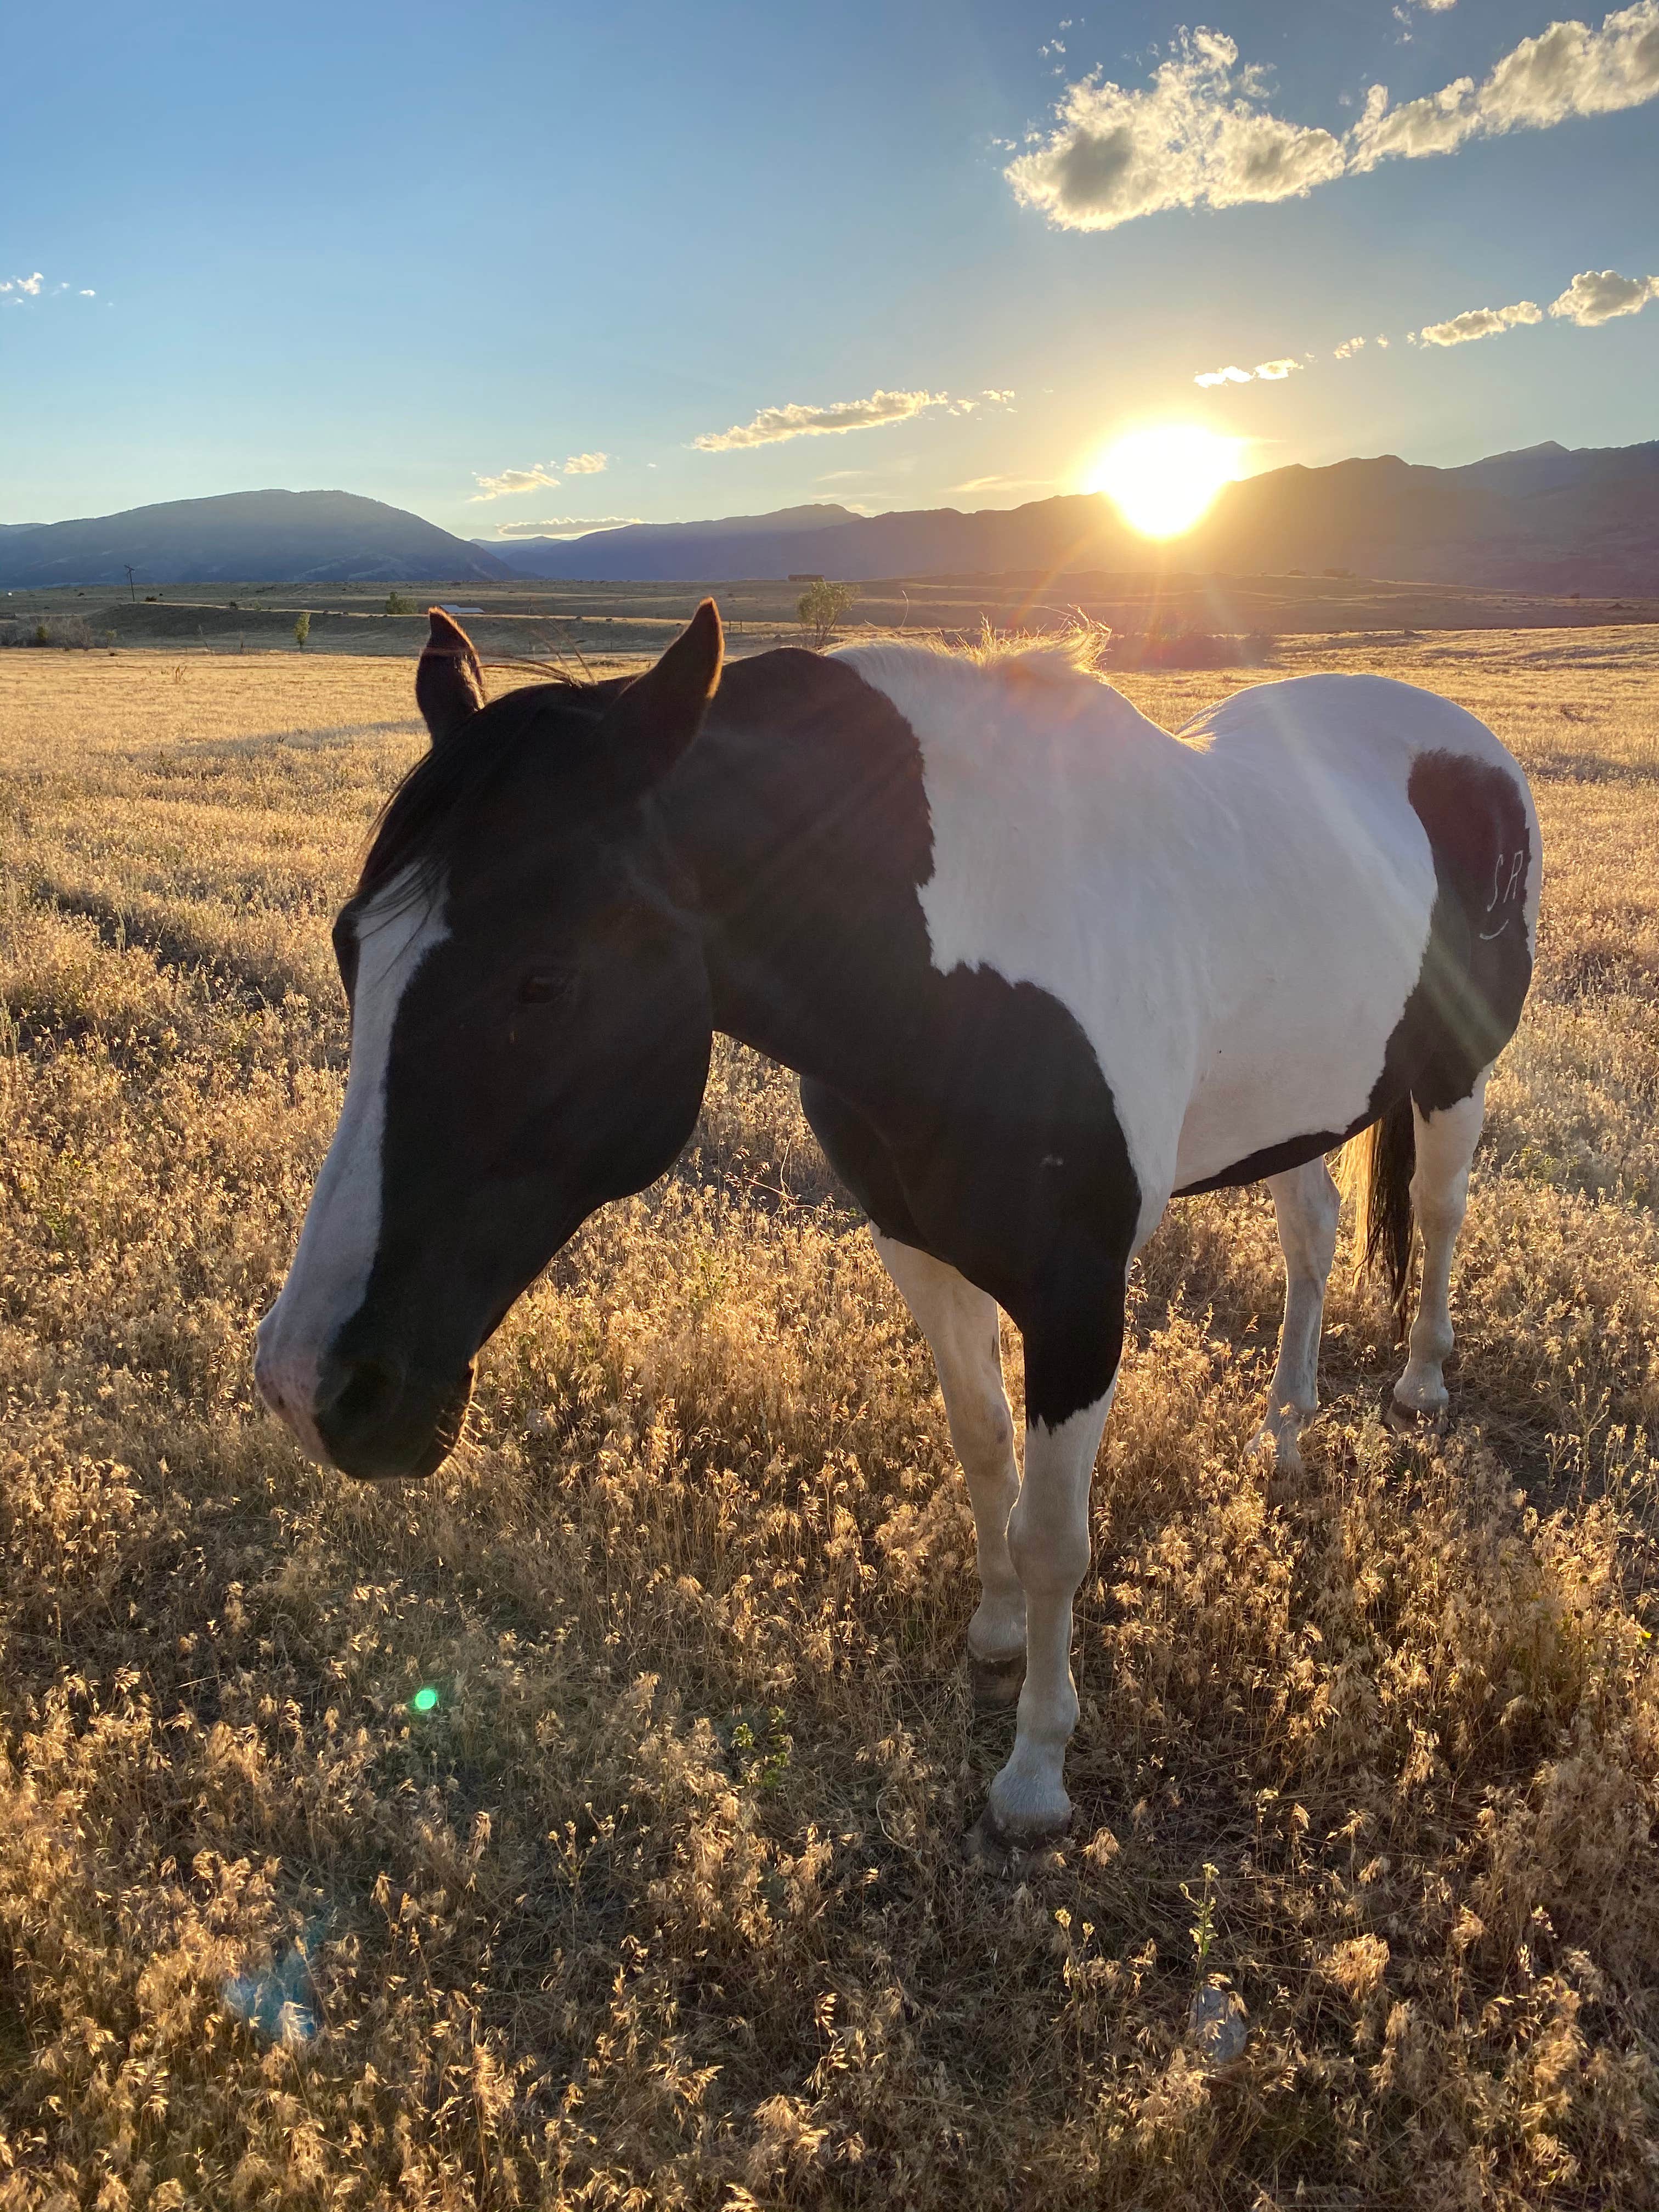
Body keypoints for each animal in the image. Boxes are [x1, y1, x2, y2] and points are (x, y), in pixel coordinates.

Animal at [256, 602, 1539, 1848]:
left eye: (543, 980)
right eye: (350, 948)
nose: (313, 1387)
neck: (962, 964)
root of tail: (1462, 743)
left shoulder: (1078, 1295)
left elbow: (1056, 1531)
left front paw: (1035, 1775)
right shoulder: (917, 1246)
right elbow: (984, 1452)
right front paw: (994, 1633)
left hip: (1454, 1079)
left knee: (1437, 1211)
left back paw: (1420, 1381)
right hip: (1298, 1104)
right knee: (1311, 1237)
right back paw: (1281, 1433)